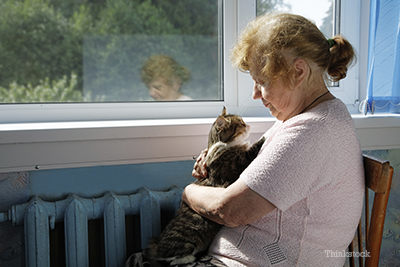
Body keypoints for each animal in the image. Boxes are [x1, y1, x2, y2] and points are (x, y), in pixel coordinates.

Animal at [145, 108, 264, 266]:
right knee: (169, 258)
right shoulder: (237, 163)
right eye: (241, 124)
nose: (248, 125)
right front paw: (264, 136)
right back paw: (189, 258)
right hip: (190, 239)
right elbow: (253, 148)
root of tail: (156, 243)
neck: (222, 145)